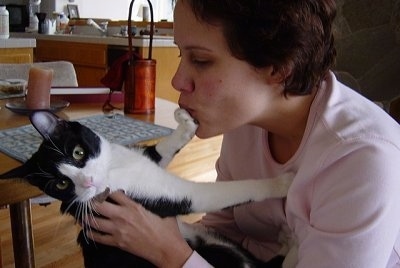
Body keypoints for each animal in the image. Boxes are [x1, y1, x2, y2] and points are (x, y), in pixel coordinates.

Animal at [0, 109, 294, 268]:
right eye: (61, 184)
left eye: (77, 152)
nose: (88, 182)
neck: (115, 170)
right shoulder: (169, 196)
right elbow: (224, 192)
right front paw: (280, 183)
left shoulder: (143, 160)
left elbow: (161, 150)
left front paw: (185, 123)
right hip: (222, 252)